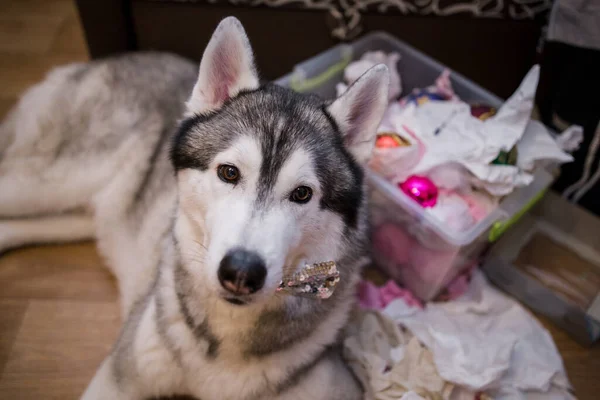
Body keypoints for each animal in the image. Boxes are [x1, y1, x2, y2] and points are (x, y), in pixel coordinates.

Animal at [0, 16, 390, 400]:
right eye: (229, 172)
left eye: (302, 194)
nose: (241, 272)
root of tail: (113, 58)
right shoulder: (117, 378)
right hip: (47, 184)